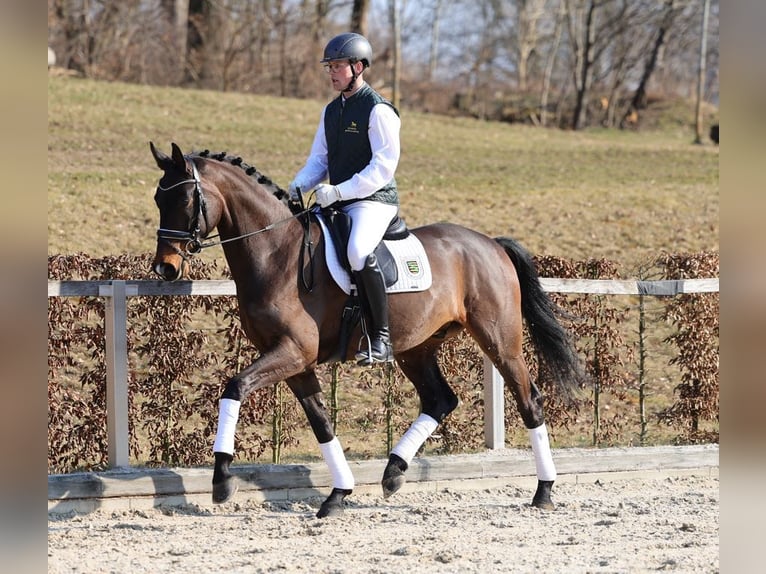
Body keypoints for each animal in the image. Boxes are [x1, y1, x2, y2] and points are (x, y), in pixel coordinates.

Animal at [149, 142, 586, 518]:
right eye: (158, 199)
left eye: (184, 201)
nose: (164, 268)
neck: (277, 252)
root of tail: (490, 244)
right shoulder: (295, 362)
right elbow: (322, 423)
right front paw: (338, 495)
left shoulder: (292, 351)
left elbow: (235, 387)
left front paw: (222, 479)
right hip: (416, 348)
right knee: (440, 400)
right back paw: (393, 473)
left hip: (500, 341)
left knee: (529, 401)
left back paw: (544, 491)